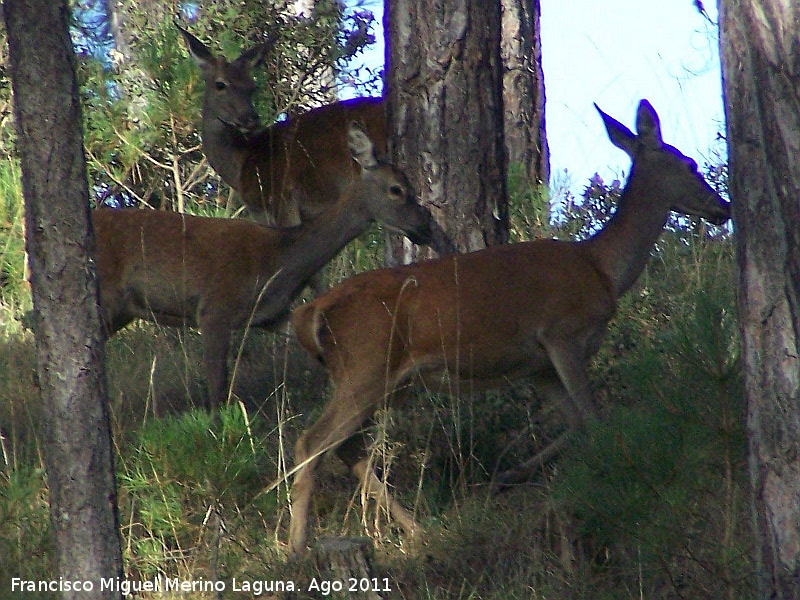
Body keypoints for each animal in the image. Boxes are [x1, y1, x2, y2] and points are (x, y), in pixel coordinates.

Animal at [92, 123, 450, 410]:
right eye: (396, 189)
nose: (426, 225)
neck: (279, 262)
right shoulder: (215, 308)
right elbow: (218, 391)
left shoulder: (270, 313)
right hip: (107, 296)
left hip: (123, 310)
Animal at [286, 98, 732, 552]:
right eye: (690, 164)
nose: (724, 207)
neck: (601, 268)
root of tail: (313, 310)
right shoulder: (562, 334)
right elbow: (595, 420)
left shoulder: (538, 367)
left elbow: (575, 424)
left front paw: (506, 477)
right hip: (366, 365)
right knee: (311, 442)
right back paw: (297, 546)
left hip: (379, 378)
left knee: (348, 448)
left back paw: (414, 529)